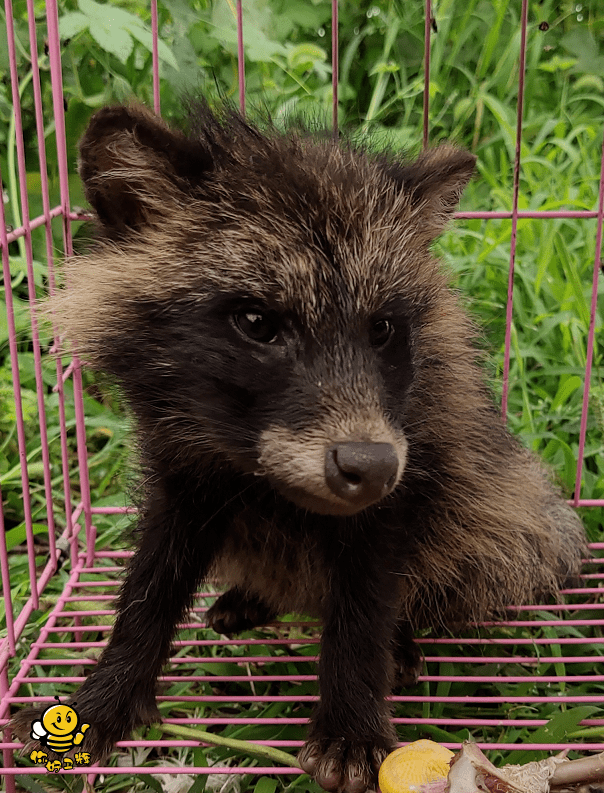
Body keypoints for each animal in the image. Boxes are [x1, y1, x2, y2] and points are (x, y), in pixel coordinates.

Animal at [13, 103, 584, 792]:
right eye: (257, 322)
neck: (259, 472)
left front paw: (353, 714)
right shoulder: (183, 472)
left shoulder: (406, 472)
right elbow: (153, 581)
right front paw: (107, 691)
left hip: (503, 515)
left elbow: (366, 600)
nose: (371, 466)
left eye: (383, 328)